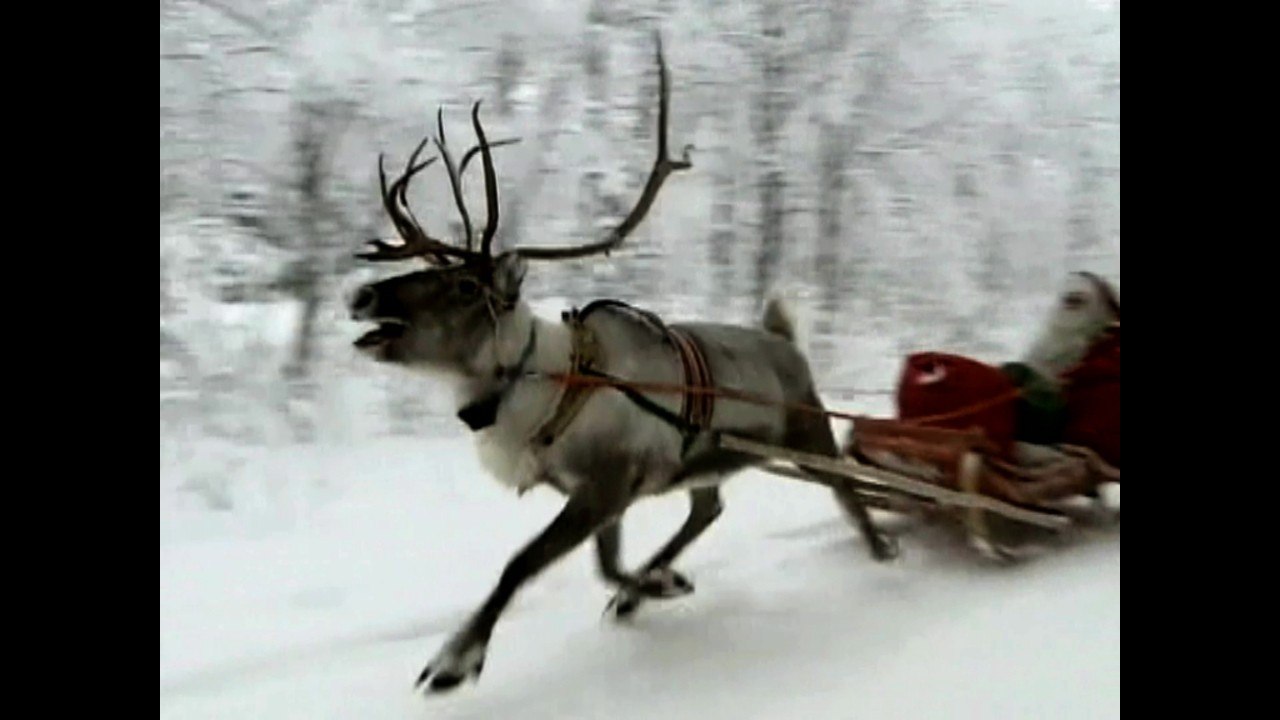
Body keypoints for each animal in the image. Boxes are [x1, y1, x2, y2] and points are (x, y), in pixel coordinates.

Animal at [347, 34, 897, 695]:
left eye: (462, 287)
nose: (362, 296)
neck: (537, 387)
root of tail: (783, 336)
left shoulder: (607, 483)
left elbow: (521, 564)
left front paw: (455, 660)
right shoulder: (604, 492)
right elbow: (606, 566)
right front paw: (657, 583)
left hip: (805, 431)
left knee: (845, 484)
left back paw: (881, 548)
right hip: (709, 459)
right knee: (709, 507)